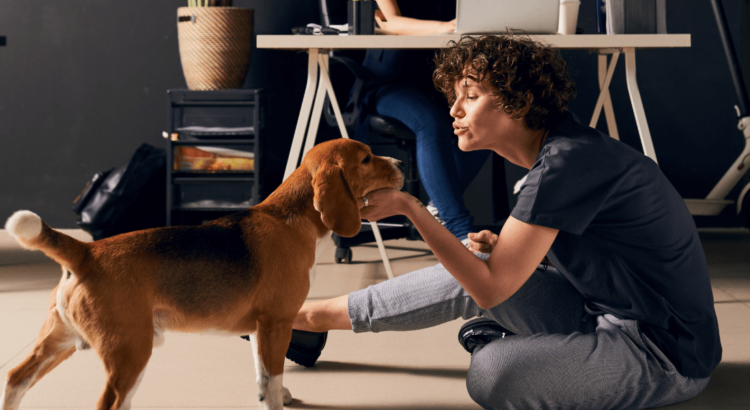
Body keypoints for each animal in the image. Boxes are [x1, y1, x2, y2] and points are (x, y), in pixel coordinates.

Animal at [1, 139, 406, 410]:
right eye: (366, 159)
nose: (401, 161)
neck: (292, 219)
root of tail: (86, 252)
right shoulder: (276, 324)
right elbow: (272, 375)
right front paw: (276, 400)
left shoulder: (258, 328)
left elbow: (264, 374)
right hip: (129, 350)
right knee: (109, 403)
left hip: (60, 340)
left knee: (15, 378)